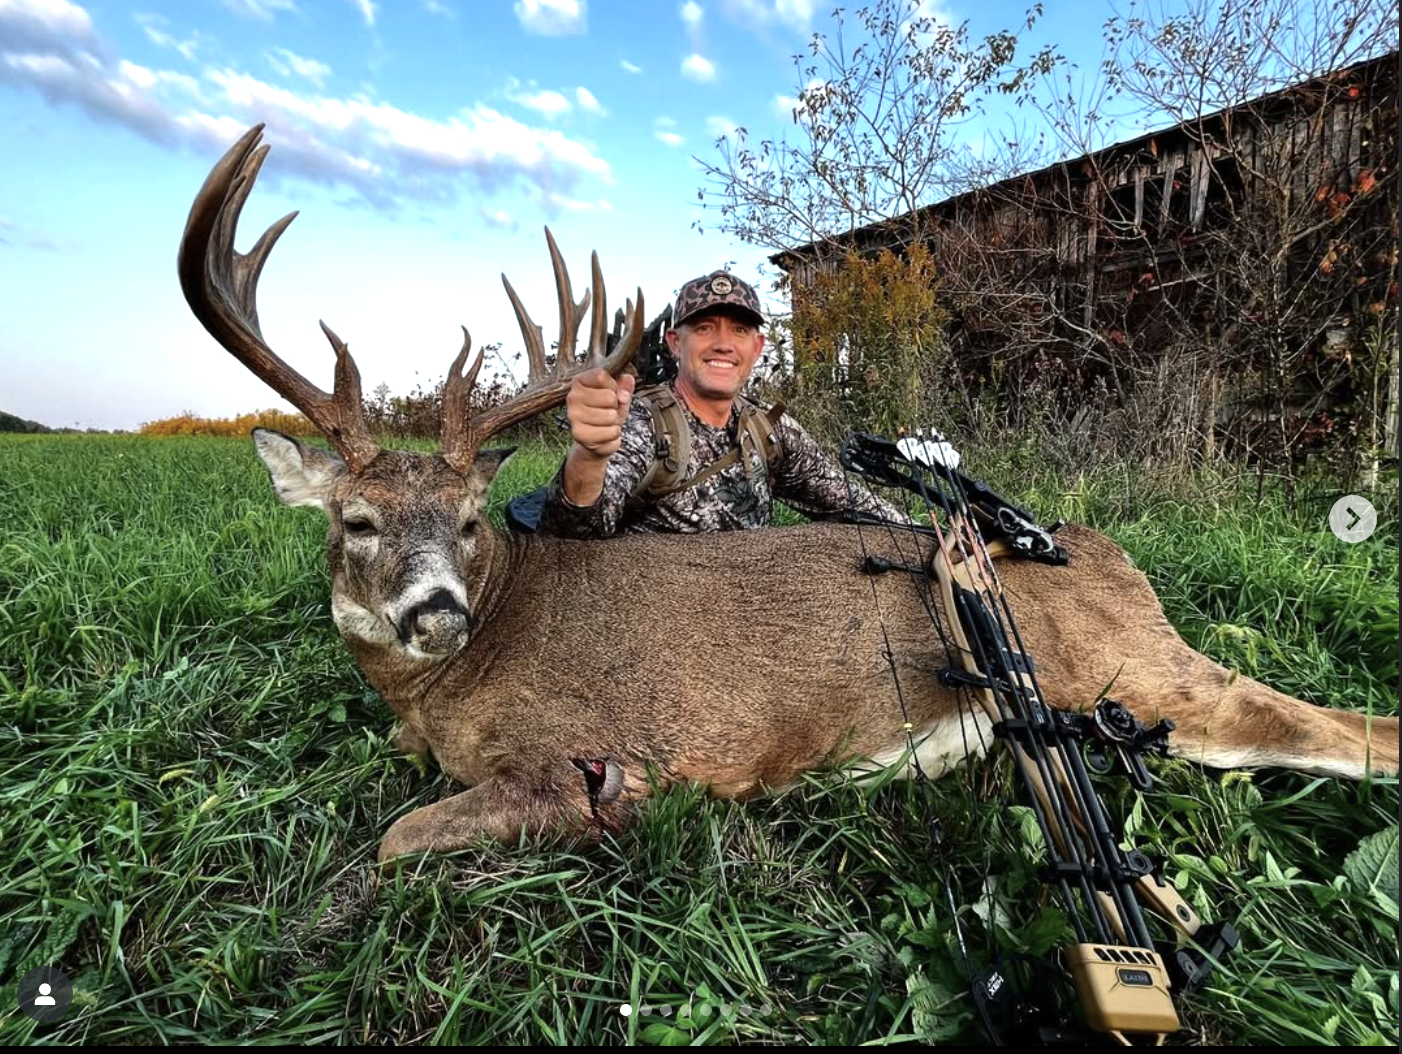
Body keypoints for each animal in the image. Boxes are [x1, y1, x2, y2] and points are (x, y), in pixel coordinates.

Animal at [178, 125, 1399, 864]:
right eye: (356, 520)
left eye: (472, 520)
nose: (436, 611)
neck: (445, 689)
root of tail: (1104, 552)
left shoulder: (572, 756)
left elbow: (396, 840)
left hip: (1135, 670)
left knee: (1341, 724)